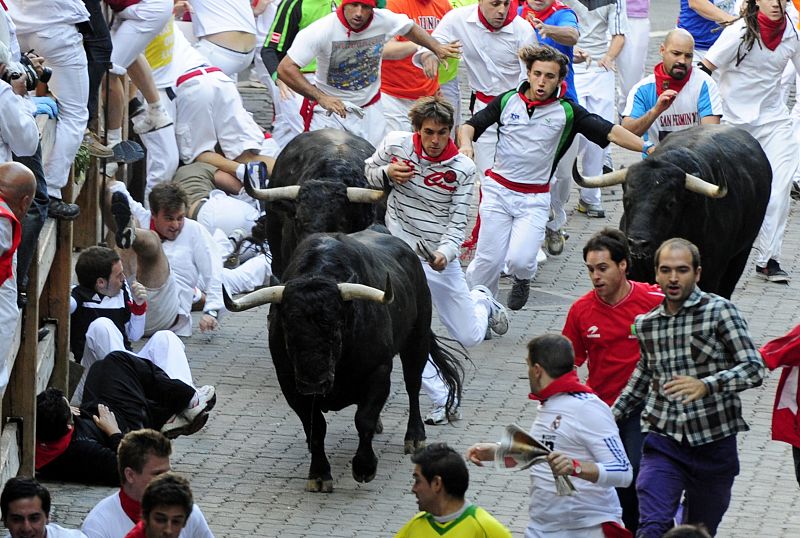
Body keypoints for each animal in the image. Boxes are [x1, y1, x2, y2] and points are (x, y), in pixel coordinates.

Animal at [223, 226, 462, 490]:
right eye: (286, 328)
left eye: (336, 328)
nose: (314, 383)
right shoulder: (289, 383)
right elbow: (316, 427)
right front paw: (318, 474)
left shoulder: (379, 371)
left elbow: (364, 419)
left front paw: (364, 467)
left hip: (416, 339)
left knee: (413, 385)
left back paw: (415, 437)